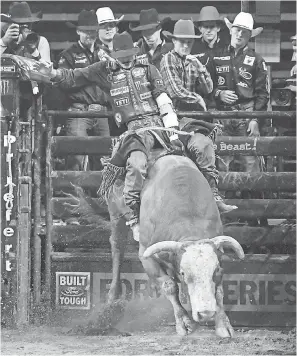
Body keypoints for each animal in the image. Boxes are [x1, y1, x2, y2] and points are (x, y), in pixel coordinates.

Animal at [105, 152, 244, 338]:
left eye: (214, 270)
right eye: (184, 273)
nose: (205, 313)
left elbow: (219, 291)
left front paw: (222, 324)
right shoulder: (146, 256)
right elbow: (169, 286)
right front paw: (184, 322)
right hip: (115, 212)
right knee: (117, 247)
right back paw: (112, 297)